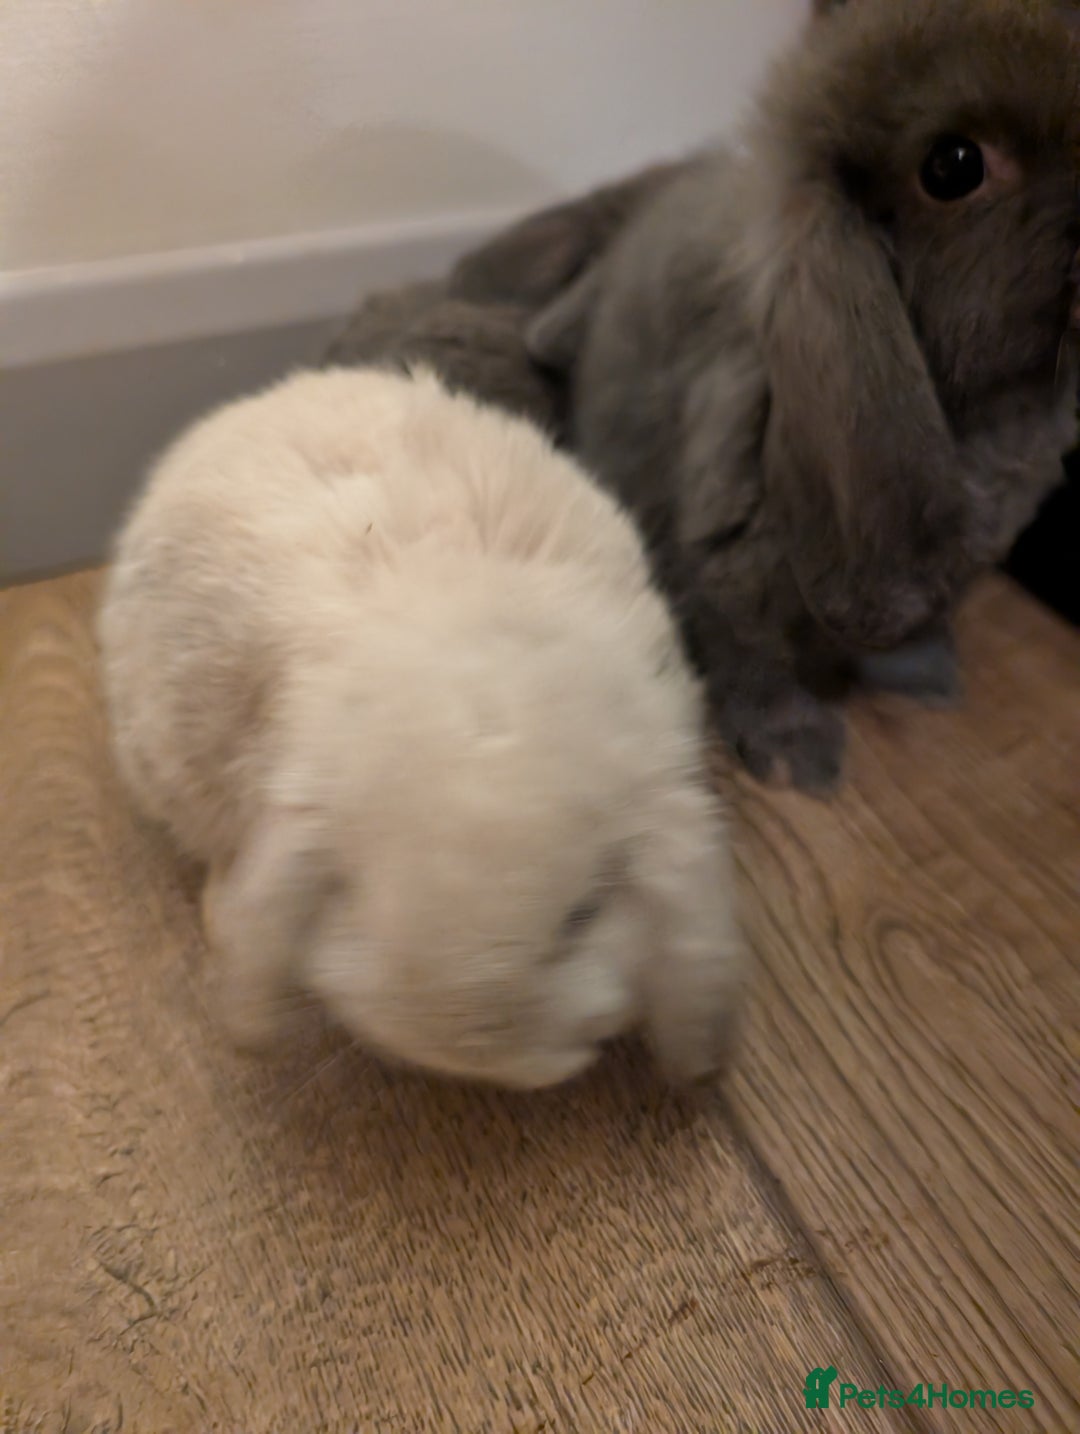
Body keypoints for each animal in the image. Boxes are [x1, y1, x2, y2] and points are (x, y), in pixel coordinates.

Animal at [503, 0, 1080, 792]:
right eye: (953, 166)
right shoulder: (727, 553)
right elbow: (752, 652)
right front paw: (798, 757)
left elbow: (923, 615)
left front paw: (930, 677)